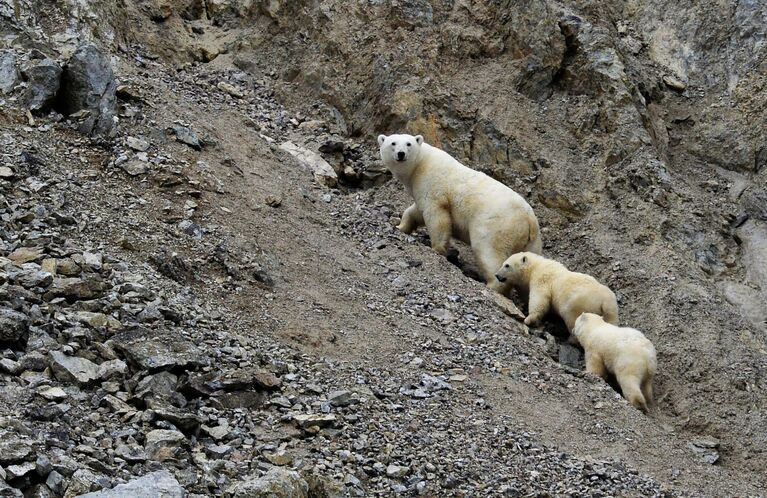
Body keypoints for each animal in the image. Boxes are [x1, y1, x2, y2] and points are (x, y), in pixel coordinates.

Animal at [378, 133, 540, 288]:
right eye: (393, 143)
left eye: (408, 143)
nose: (401, 154)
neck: (420, 164)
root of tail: (529, 219)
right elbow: (416, 212)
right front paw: (400, 226)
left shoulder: (432, 183)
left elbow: (436, 215)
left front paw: (437, 248)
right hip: (531, 241)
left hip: (496, 226)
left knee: (488, 251)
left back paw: (492, 284)